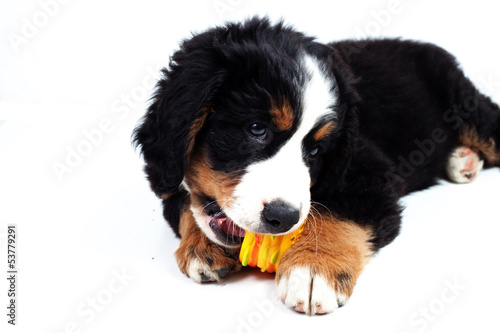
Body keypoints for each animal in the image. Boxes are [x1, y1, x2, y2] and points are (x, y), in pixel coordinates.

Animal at [134, 17, 500, 314]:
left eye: (316, 149)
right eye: (256, 129)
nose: (283, 218)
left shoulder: (368, 174)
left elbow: (336, 215)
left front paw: (312, 269)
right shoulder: (165, 167)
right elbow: (185, 205)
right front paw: (201, 246)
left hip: (464, 104)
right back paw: (461, 160)